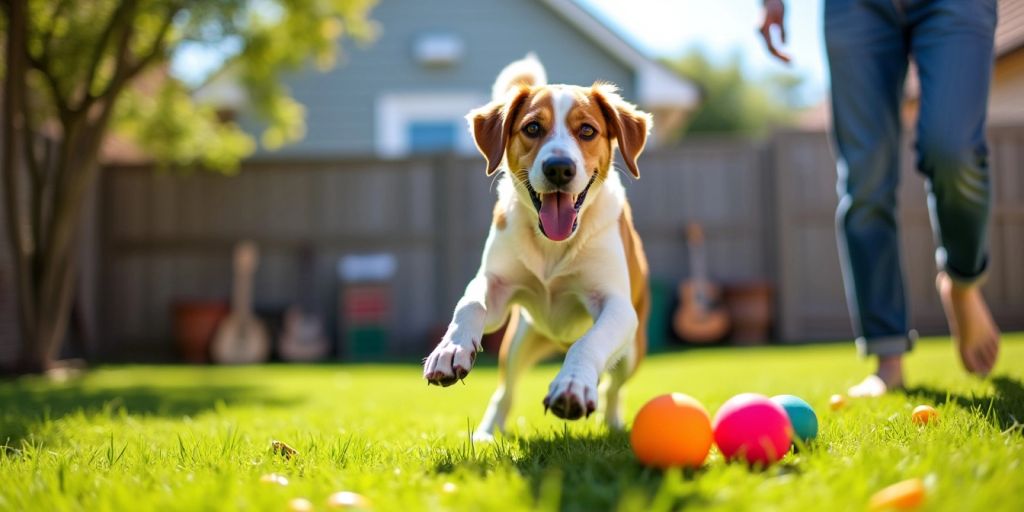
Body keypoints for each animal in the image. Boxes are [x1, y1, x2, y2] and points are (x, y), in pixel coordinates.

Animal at [425, 56, 651, 440]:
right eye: (532, 127)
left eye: (587, 130)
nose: (559, 167)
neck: (553, 247)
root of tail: (555, 342)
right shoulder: (496, 288)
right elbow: (470, 303)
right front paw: (449, 349)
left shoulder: (617, 306)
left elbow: (589, 342)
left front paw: (573, 385)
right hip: (518, 342)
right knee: (506, 390)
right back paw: (486, 433)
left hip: (633, 350)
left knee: (613, 387)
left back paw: (613, 422)